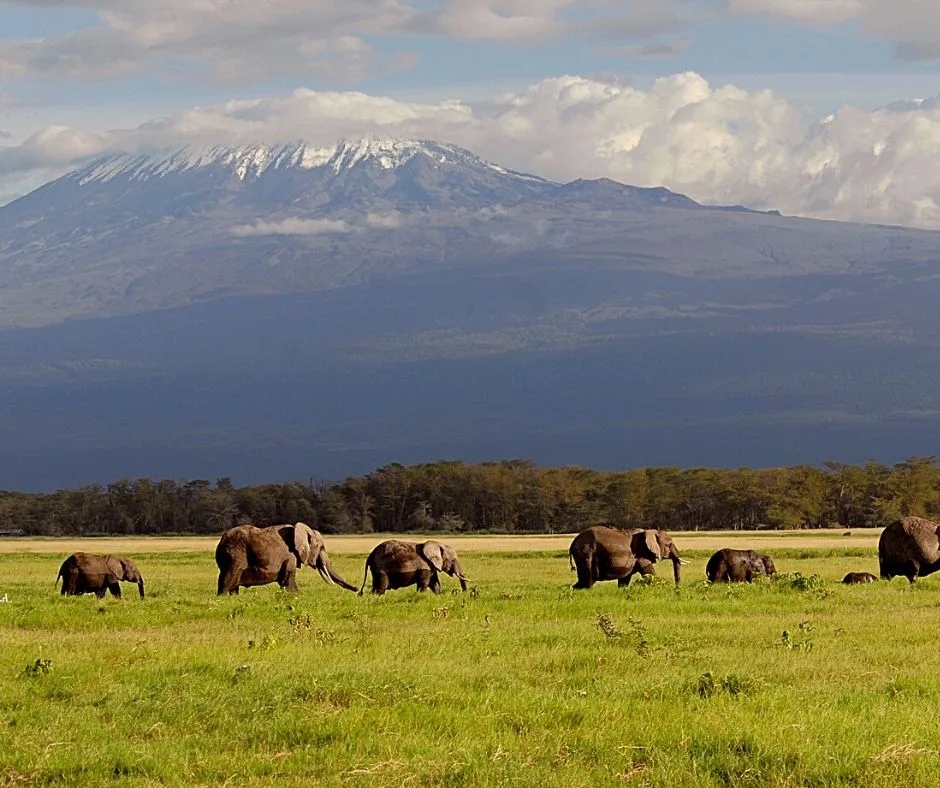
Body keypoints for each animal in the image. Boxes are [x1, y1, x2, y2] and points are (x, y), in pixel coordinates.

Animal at [215, 522, 357, 595]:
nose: (357, 590)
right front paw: (298, 595)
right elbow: (289, 578)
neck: (303, 530)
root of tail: (221, 541)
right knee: (229, 579)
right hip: (235, 555)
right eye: (321, 547)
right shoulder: (290, 555)